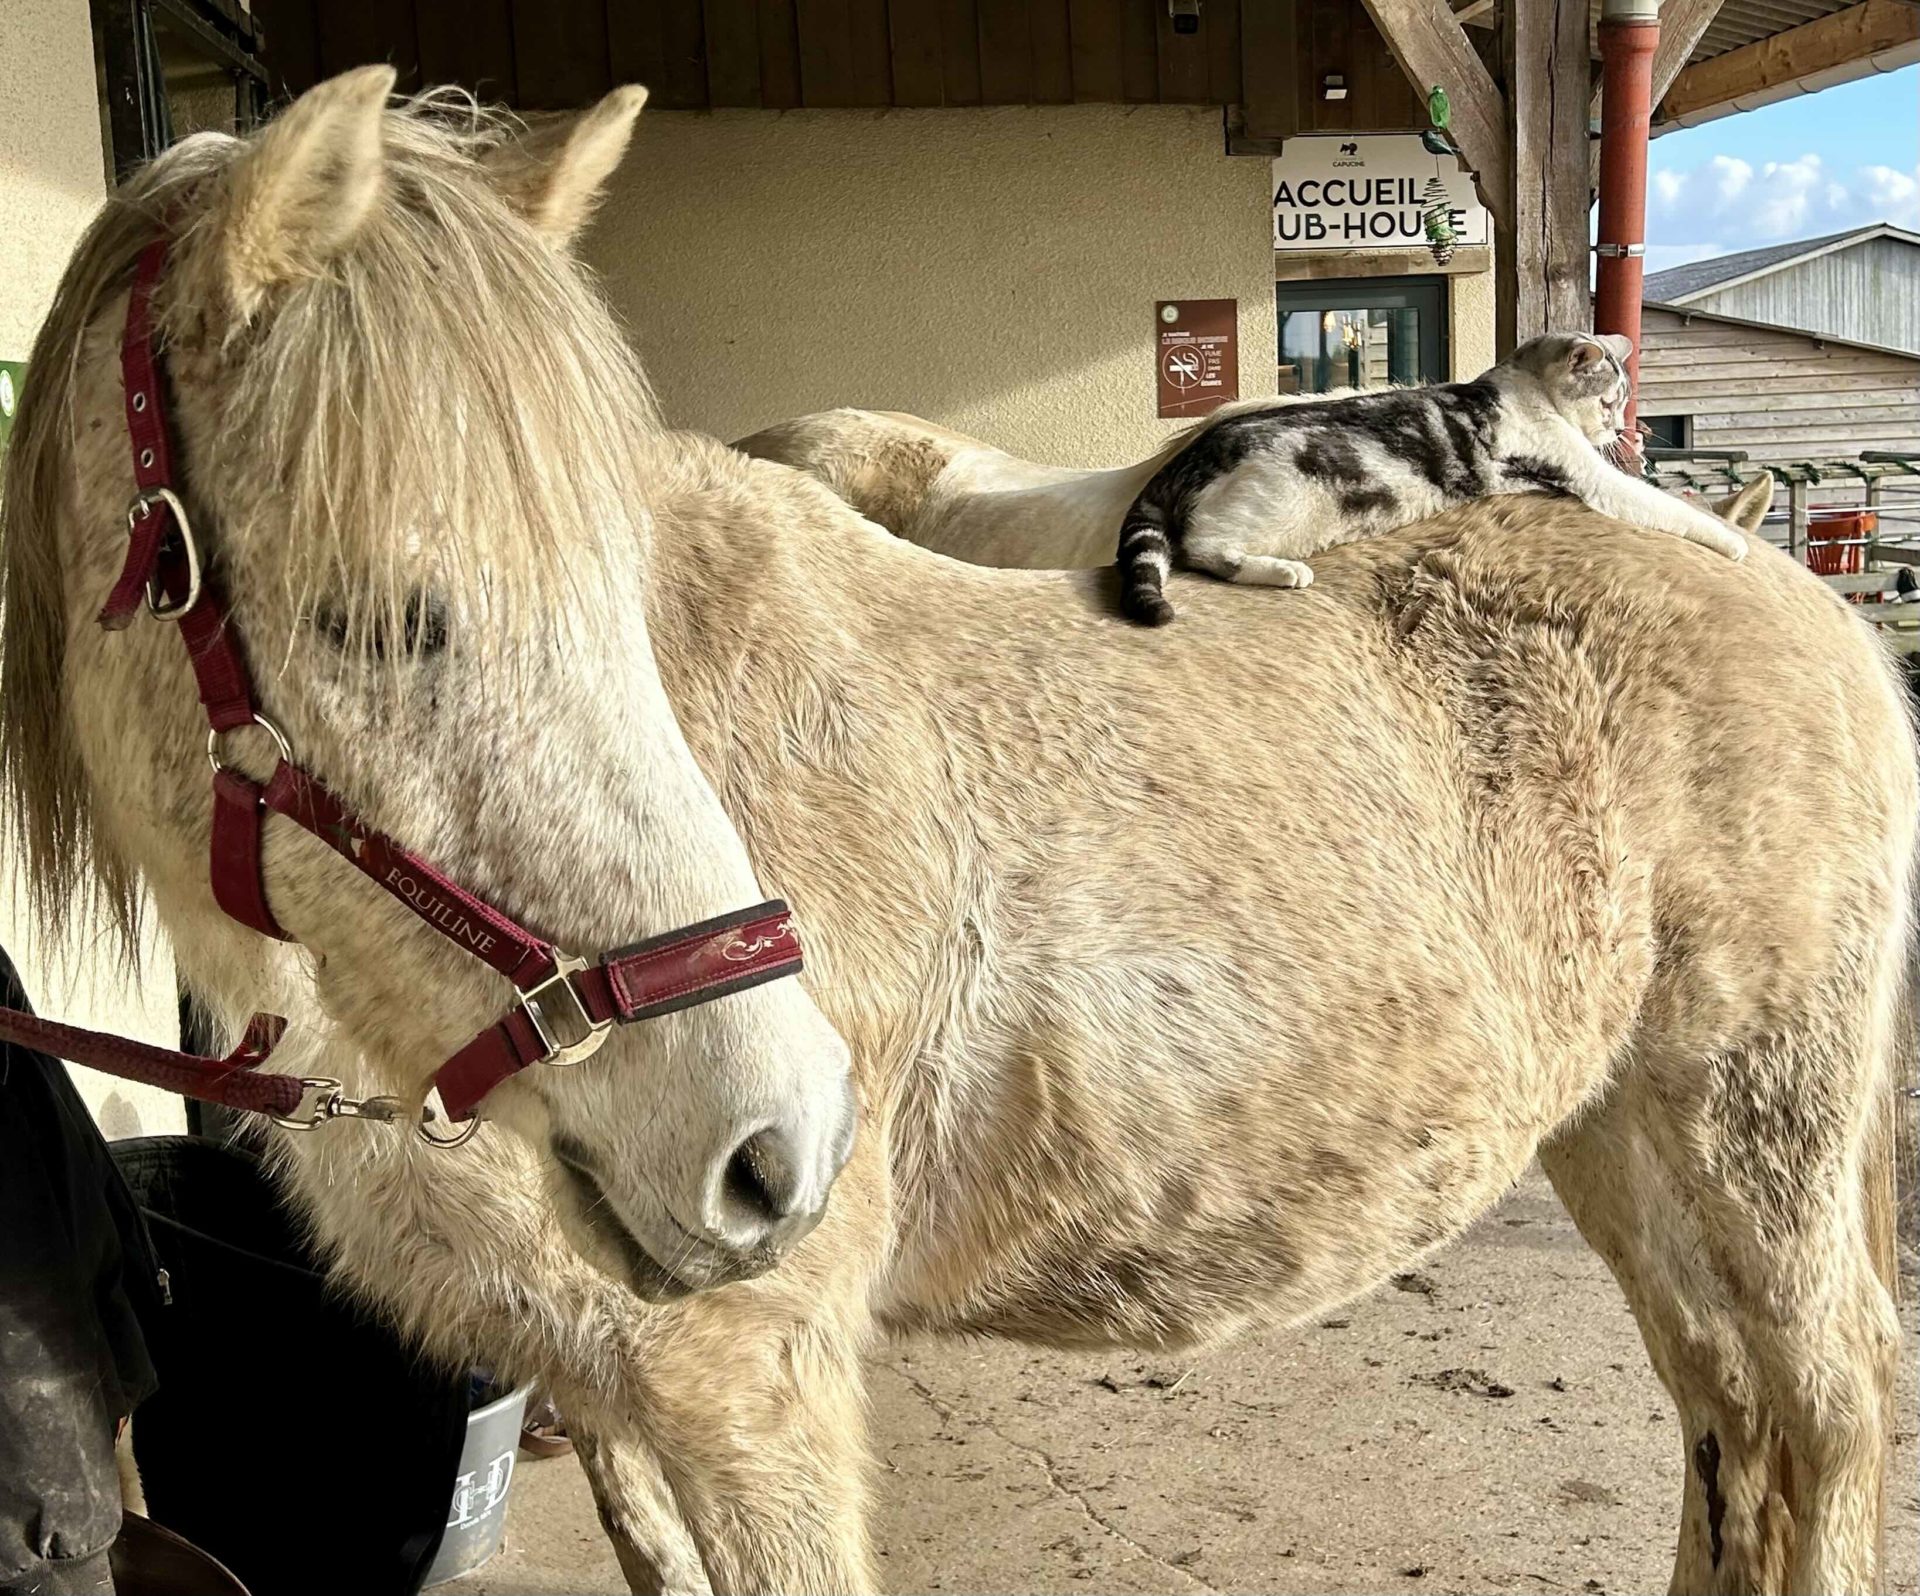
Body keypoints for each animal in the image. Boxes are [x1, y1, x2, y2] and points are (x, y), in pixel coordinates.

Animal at [3, 72, 1912, 1596]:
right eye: (382, 617)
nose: (771, 1146)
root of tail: (1783, 581)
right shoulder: (614, 1406)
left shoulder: (754, 1394)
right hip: (1623, 1136)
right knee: (1729, 1423)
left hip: (1752, 1130)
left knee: (1818, 1417)